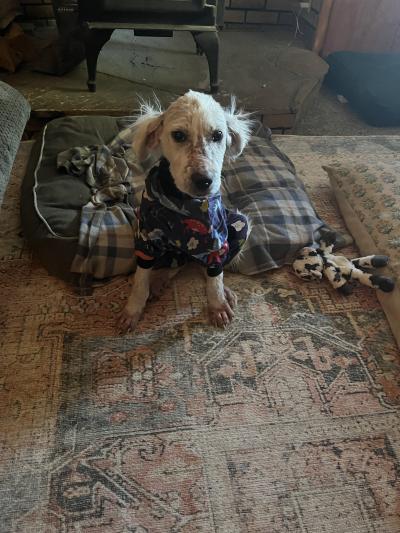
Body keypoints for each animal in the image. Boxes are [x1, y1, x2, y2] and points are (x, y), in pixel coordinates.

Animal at [117, 91, 252, 332]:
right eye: (178, 135)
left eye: (218, 135)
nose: (204, 182)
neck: (183, 203)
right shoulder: (146, 240)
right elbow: (140, 279)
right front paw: (133, 310)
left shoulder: (216, 242)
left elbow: (215, 277)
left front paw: (217, 304)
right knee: (176, 265)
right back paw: (159, 281)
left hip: (240, 224)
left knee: (203, 268)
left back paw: (223, 291)